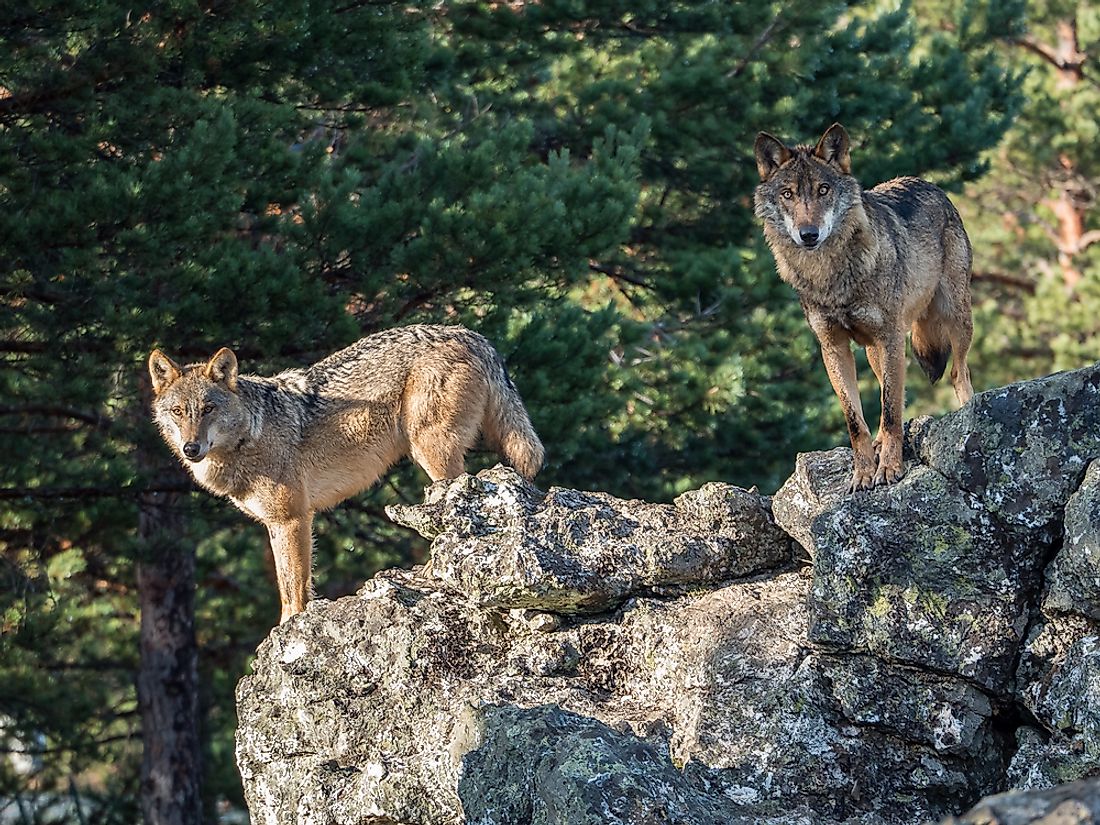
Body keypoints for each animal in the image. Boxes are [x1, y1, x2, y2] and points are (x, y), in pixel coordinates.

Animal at [148, 325, 543, 624]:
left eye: (208, 409)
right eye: (179, 412)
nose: (191, 449)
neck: (251, 433)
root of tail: (469, 333)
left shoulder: (292, 519)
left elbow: (293, 589)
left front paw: (288, 632)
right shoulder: (278, 524)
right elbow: (293, 584)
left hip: (431, 452)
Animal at [756, 122, 972, 490]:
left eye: (824, 189)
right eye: (787, 194)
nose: (808, 234)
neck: (831, 276)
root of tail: (927, 183)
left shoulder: (891, 337)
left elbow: (890, 411)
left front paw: (889, 469)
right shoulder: (833, 346)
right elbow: (856, 419)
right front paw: (863, 472)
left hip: (953, 317)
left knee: (958, 373)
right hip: (876, 350)